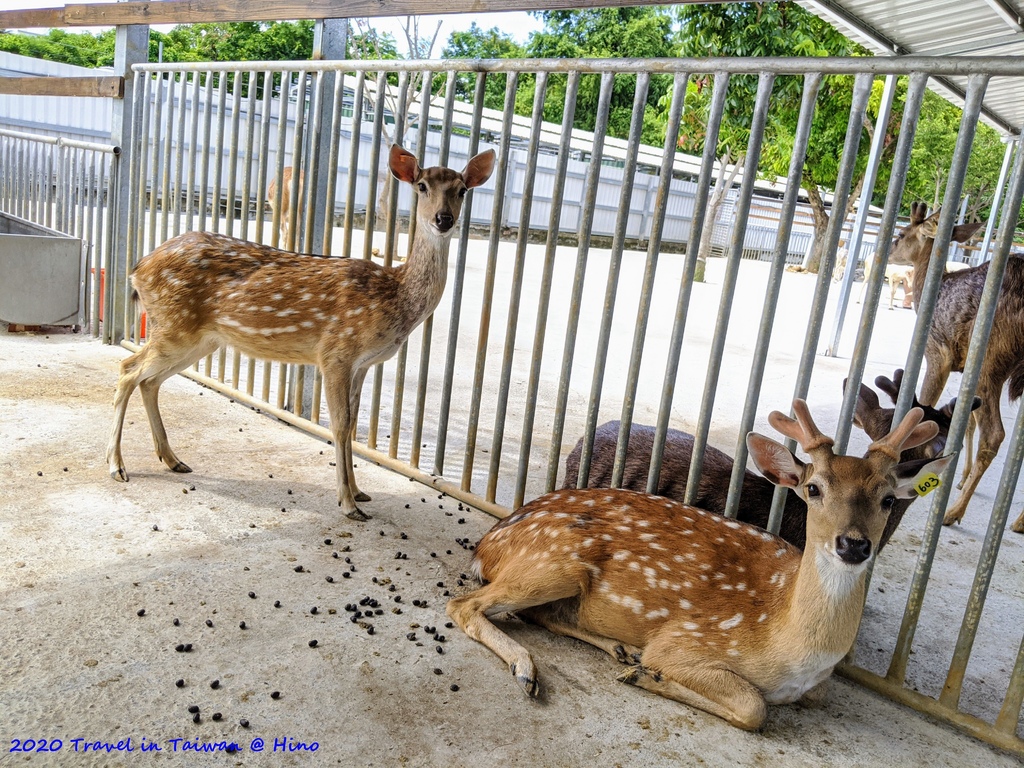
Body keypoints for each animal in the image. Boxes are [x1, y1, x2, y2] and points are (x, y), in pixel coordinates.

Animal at [104, 145, 495, 524]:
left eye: (462, 190)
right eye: (422, 186)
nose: (443, 219)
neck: (394, 296)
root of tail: (137, 269)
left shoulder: (364, 364)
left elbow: (353, 424)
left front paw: (360, 492)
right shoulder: (335, 352)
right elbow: (339, 426)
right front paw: (348, 504)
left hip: (198, 338)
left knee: (149, 381)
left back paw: (173, 460)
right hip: (175, 326)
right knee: (127, 370)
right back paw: (117, 466)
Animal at [452, 403, 954, 733]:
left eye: (887, 498)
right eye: (814, 488)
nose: (853, 544)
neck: (790, 642)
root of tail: (488, 543)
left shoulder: (815, 686)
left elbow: (809, 697)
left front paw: (639, 670)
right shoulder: (685, 641)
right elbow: (754, 708)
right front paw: (649, 675)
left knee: (538, 613)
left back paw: (618, 650)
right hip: (553, 561)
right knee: (464, 605)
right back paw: (528, 669)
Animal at [888, 202, 1024, 536]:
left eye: (902, 233)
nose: (889, 250)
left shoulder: (938, 354)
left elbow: (924, 407)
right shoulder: (964, 370)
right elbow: (967, 421)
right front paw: (961, 476)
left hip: (990, 358)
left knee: (995, 434)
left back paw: (953, 512)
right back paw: (1017, 520)